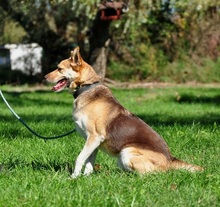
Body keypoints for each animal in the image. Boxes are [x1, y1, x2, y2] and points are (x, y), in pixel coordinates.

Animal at [44, 46, 203, 178]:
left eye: (59, 69)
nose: (44, 77)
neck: (86, 87)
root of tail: (170, 160)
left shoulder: (94, 137)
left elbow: (79, 158)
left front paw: (73, 178)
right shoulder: (93, 142)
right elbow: (89, 162)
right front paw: (86, 177)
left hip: (127, 152)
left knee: (150, 174)